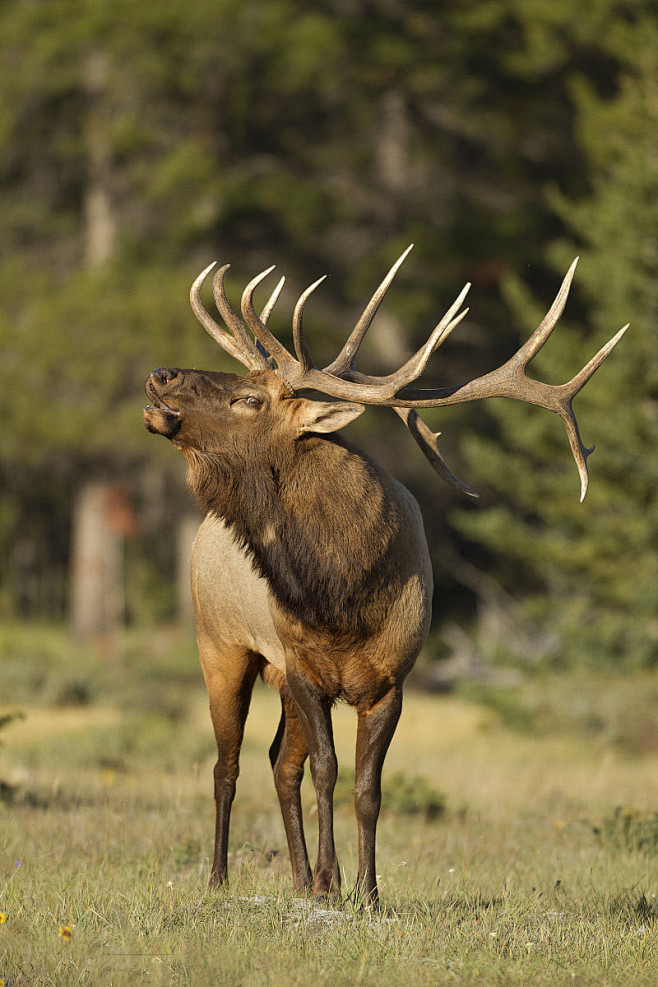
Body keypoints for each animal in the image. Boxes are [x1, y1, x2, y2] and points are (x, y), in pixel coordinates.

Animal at [144, 247, 624, 904]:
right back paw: (220, 878)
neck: (341, 594)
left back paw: (296, 879)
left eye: (250, 398)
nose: (159, 374)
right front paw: (332, 882)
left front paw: (364, 891)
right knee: (228, 765)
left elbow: (367, 788)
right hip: (221, 645)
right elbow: (327, 772)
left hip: (261, 668)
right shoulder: (304, 669)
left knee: (276, 762)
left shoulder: (392, 681)